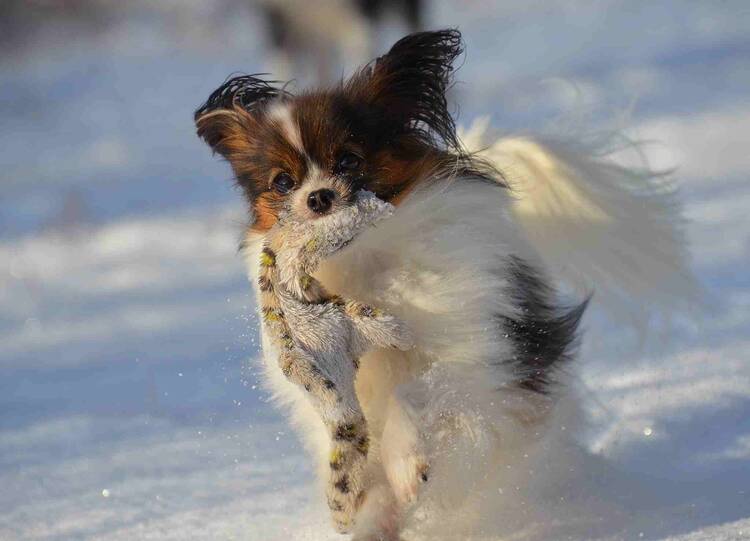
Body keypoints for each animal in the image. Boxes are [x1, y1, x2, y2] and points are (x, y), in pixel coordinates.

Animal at [194, 29, 693, 540]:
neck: (365, 261)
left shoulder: (473, 355)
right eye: (282, 181)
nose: (318, 198)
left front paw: (407, 464)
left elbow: (419, 389)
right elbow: (361, 462)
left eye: (349, 160)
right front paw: (373, 515)